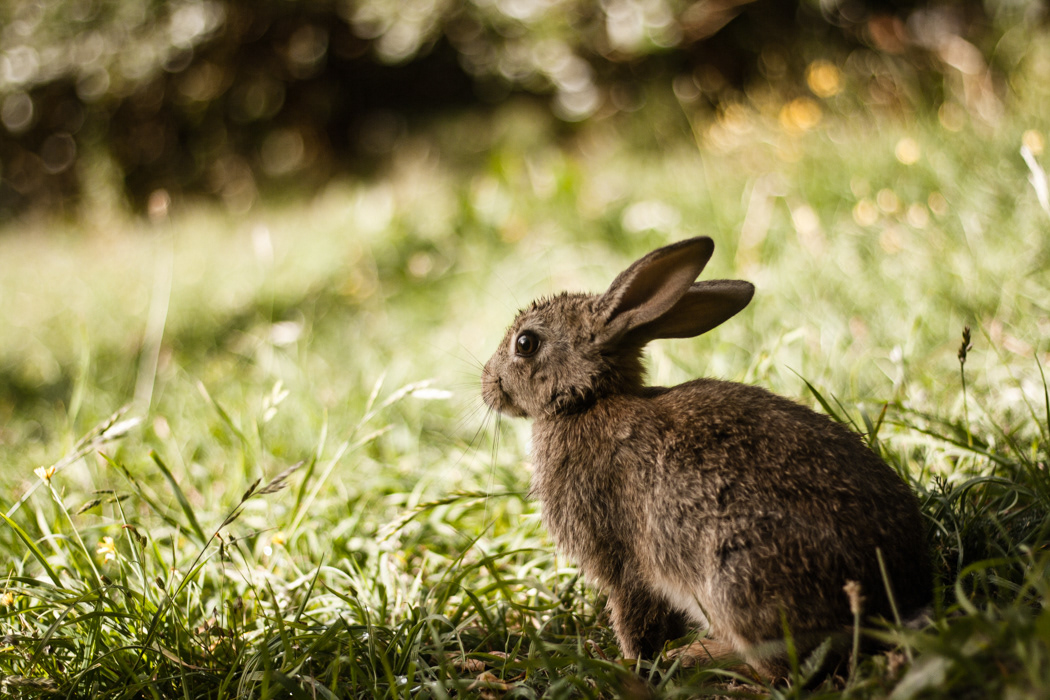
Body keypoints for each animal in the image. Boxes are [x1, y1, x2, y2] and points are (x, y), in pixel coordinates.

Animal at [481, 237, 932, 678]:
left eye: (526, 343)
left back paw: (697, 657)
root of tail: (888, 598)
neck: (588, 400)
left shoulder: (618, 557)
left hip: (733, 581)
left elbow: (634, 615)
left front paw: (629, 664)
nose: (487, 385)